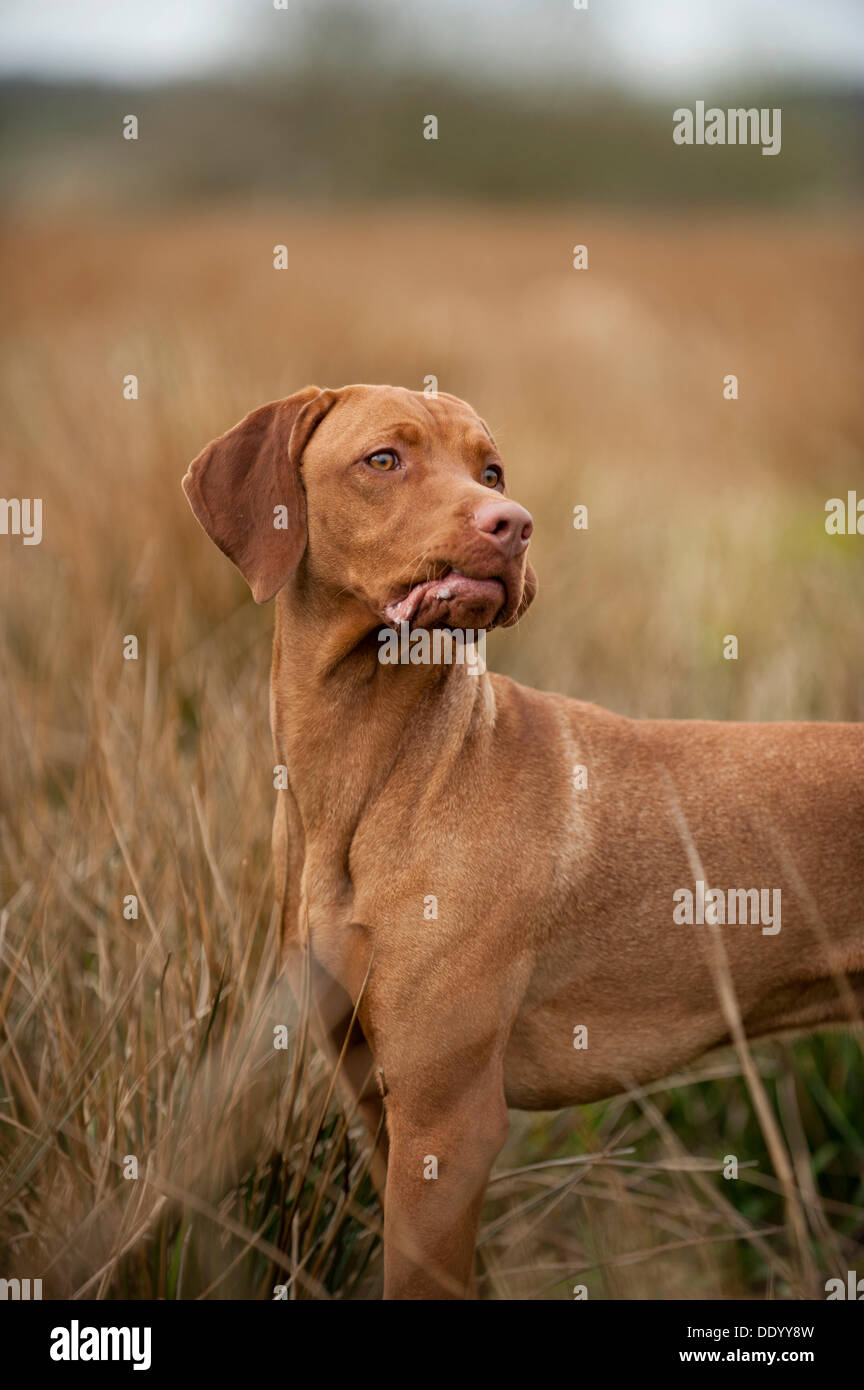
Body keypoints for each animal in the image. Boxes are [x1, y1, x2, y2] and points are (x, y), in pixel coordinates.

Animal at [184, 386, 864, 1295]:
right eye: (383, 459)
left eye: (492, 472)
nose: (513, 525)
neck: (371, 781)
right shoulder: (376, 1101)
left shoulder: (448, 1121)